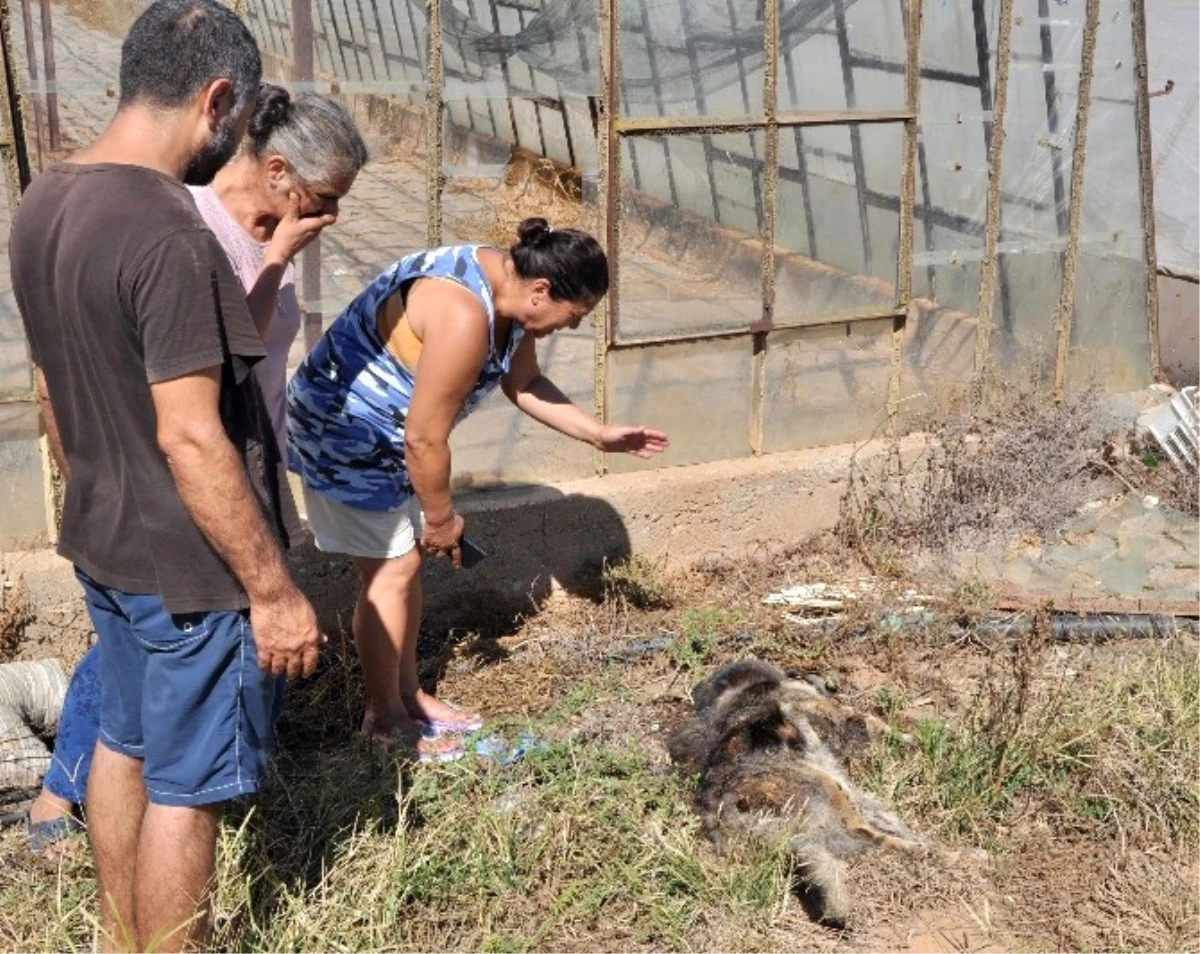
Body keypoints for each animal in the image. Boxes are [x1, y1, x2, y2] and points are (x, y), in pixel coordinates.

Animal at [667, 662, 926, 931]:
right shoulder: (834, 713)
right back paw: (922, 849)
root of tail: (722, 810)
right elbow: (873, 723)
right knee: (860, 831)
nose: (830, 685)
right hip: (821, 784)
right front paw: (911, 739)